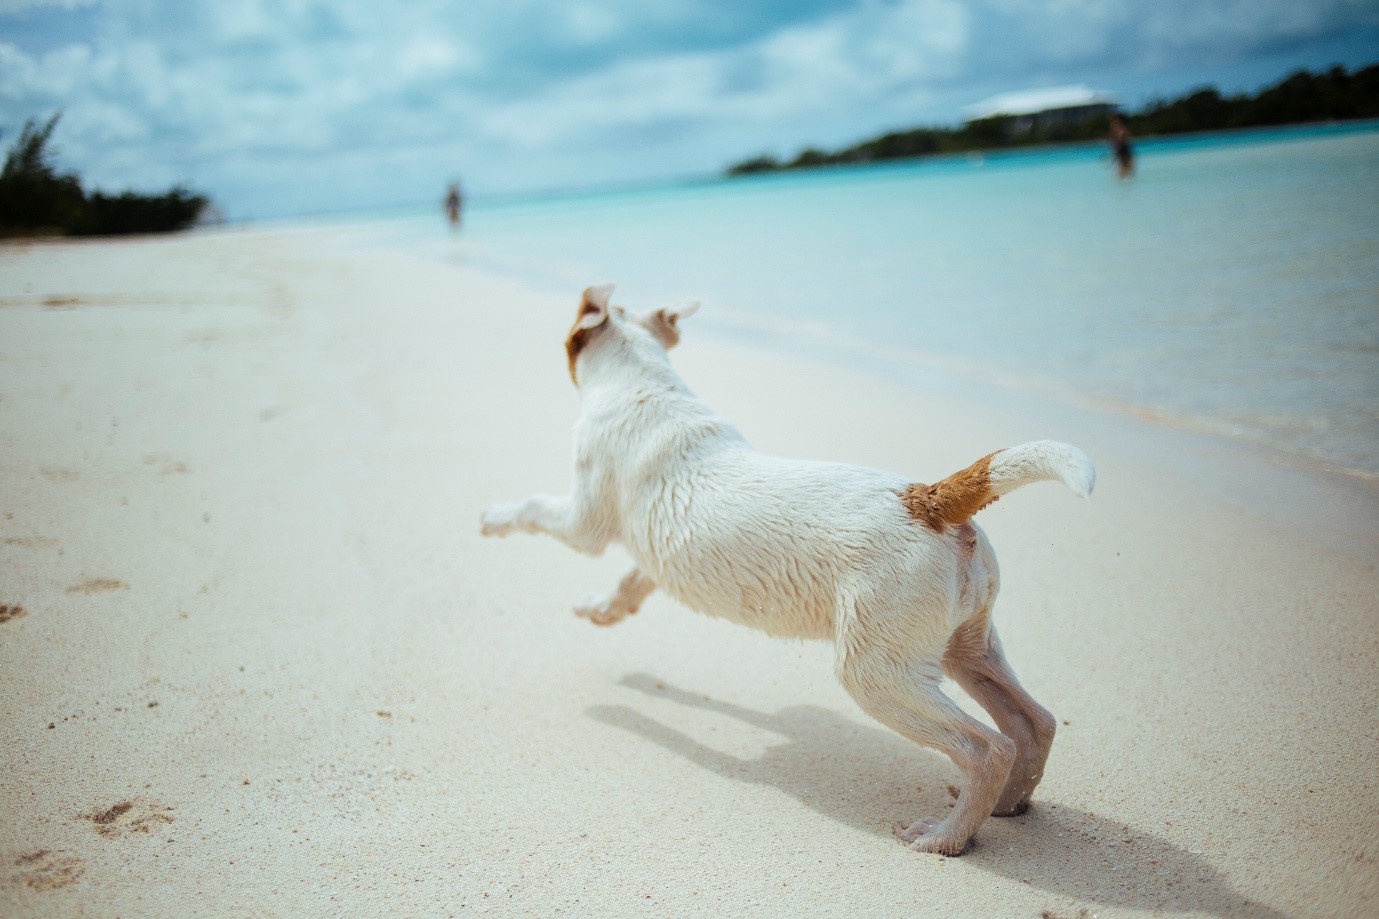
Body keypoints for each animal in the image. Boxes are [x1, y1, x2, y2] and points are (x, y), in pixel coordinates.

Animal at [479, 284, 1092, 850]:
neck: (643, 383)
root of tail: (928, 499)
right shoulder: (655, 552)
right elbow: (633, 581)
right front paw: (603, 610)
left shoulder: (583, 522)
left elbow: (534, 509)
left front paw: (492, 518)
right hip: (965, 647)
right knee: (1033, 723)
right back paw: (1009, 805)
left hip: (877, 672)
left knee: (987, 747)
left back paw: (946, 836)